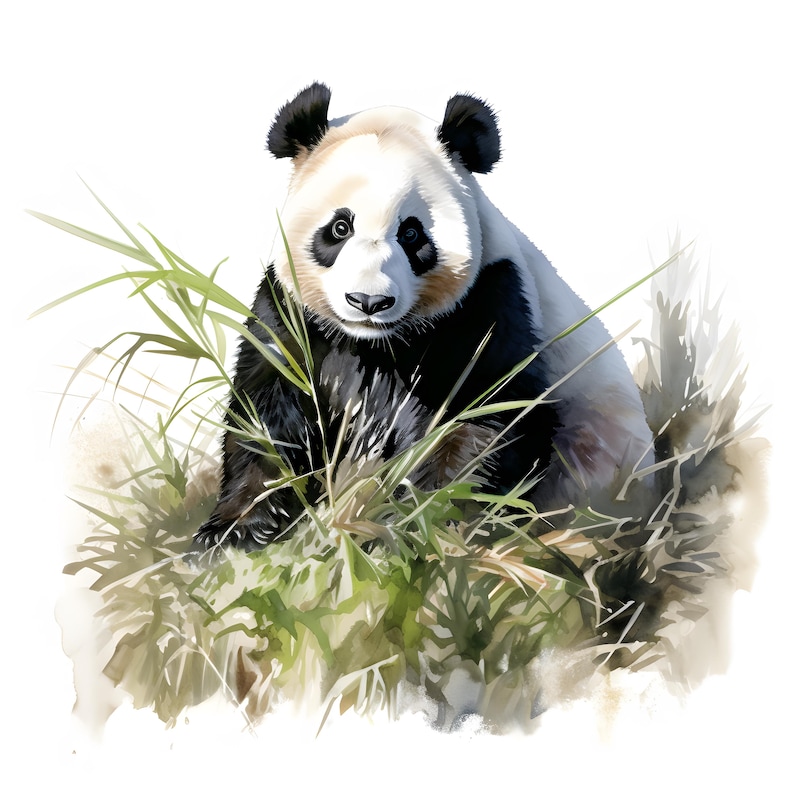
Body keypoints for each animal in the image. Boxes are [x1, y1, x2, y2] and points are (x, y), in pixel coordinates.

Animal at [193, 82, 654, 551]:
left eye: (412, 233)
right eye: (340, 228)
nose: (368, 301)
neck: (375, 342)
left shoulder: (490, 304)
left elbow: (486, 417)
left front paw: (412, 524)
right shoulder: (290, 313)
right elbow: (269, 413)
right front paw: (235, 531)